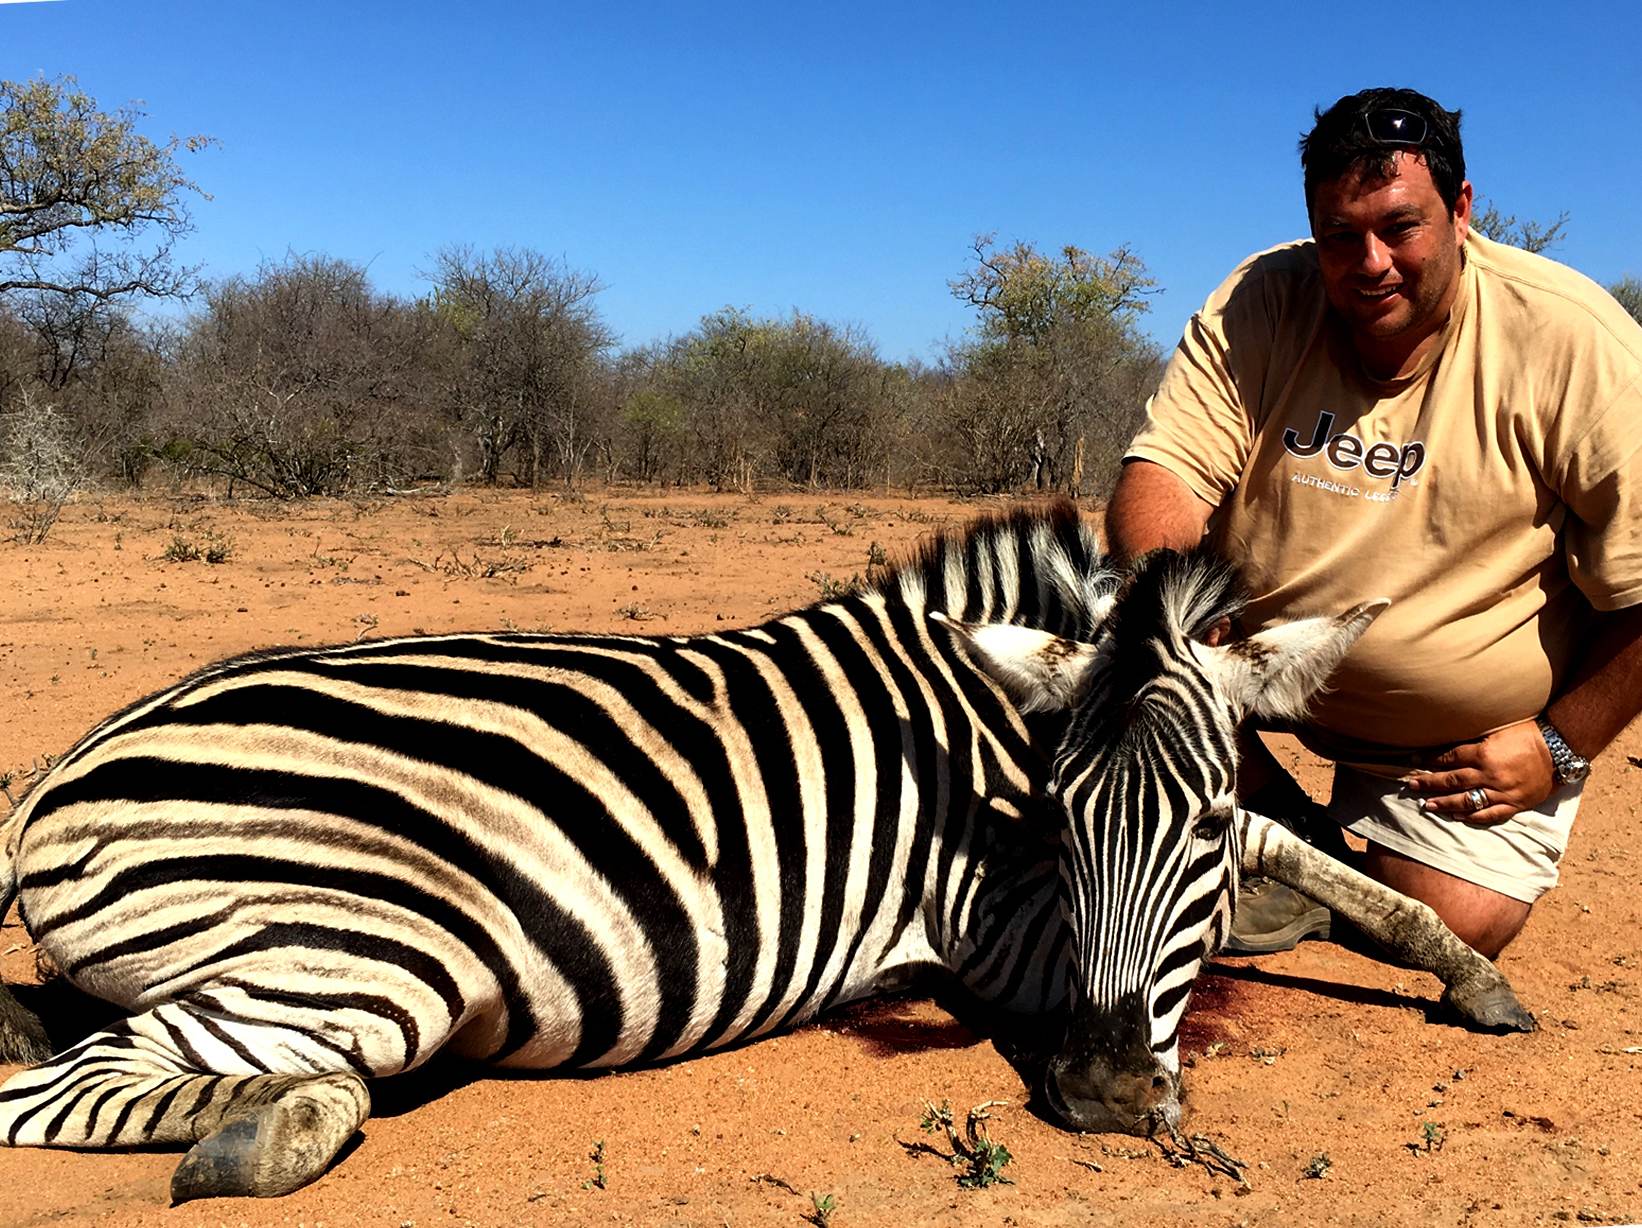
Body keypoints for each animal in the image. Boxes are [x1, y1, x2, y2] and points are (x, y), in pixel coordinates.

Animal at [0, 504, 1532, 1202]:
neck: (982, 725)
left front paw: (1462, 973)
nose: (1100, 1098)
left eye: (1196, 820)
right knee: (74, 1086)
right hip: (375, 954)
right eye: (1052, 813)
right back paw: (270, 1132)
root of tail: (57, 781)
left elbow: (1318, 861)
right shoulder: (997, 938)